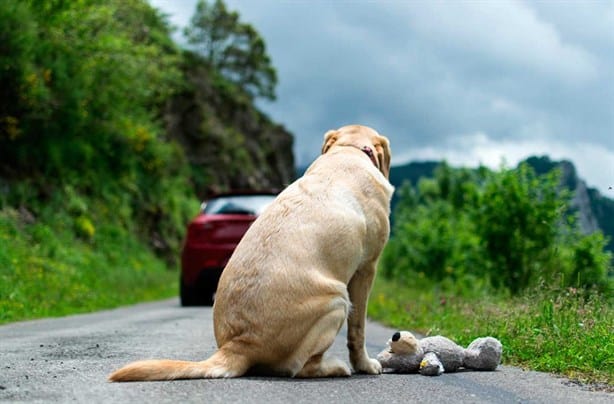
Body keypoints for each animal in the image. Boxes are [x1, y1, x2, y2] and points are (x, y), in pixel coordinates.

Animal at [109, 124, 394, 380]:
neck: (348, 149)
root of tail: (238, 345)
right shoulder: (367, 268)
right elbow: (358, 329)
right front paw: (365, 365)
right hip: (337, 300)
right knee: (300, 368)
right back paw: (335, 367)